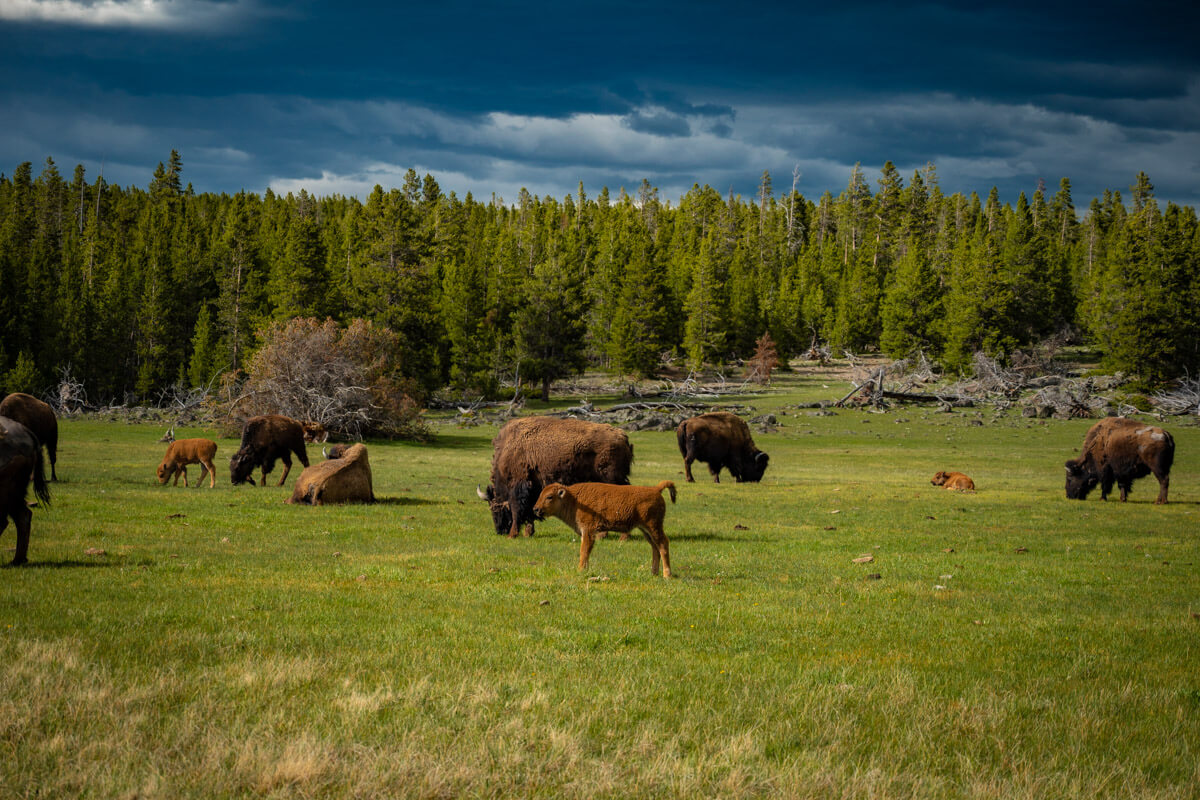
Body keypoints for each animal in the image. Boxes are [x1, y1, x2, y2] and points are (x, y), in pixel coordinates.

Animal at [477, 416, 634, 537]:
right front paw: (528, 532)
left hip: (611, 478)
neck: (508, 449)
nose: (500, 531)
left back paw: (615, 536)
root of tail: (622, 436)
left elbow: (517, 510)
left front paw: (513, 534)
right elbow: (530, 511)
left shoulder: (518, 485)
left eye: (494, 508)